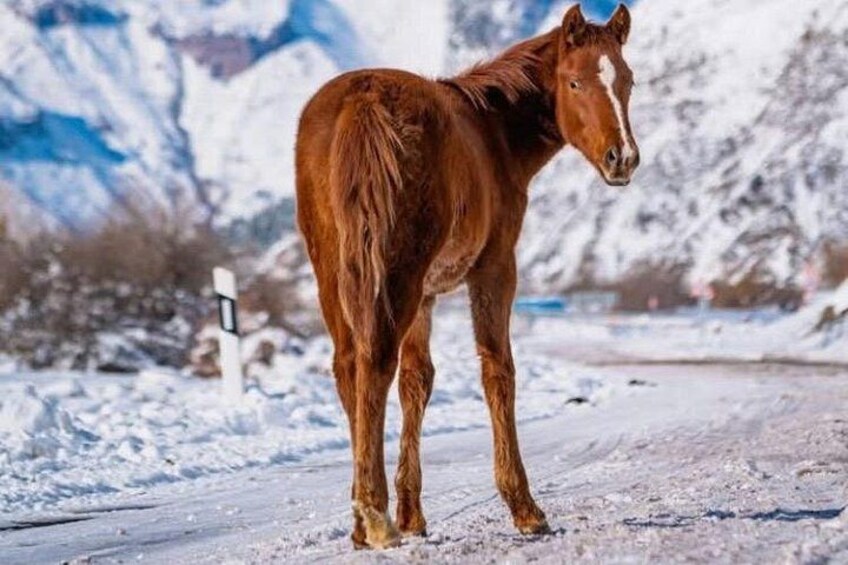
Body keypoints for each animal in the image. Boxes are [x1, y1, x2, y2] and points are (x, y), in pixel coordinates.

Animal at [295, 3, 640, 549]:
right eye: (575, 82)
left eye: (627, 80)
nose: (622, 158)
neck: (493, 130)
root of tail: (363, 99)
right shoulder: (495, 269)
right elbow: (498, 370)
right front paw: (524, 507)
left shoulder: (428, 295)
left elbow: (417, 382)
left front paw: (413, 513)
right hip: (397, 271)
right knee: (374, 362)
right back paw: (375, 515)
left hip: (335, 272)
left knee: (349, 367)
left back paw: (361, 523)